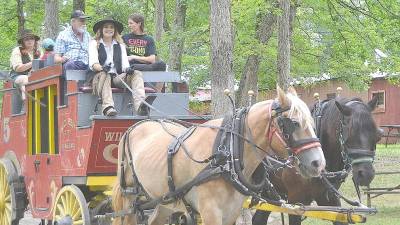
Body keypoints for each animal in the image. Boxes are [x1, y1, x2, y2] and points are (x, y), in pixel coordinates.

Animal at [111, 87, 324, 225]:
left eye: (311, 121)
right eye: (293, 123)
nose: (318, 163)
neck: (226, 156)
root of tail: (138, 123)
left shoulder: (232, 212)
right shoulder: (210, 212)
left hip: (164, 200)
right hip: (130, 197)